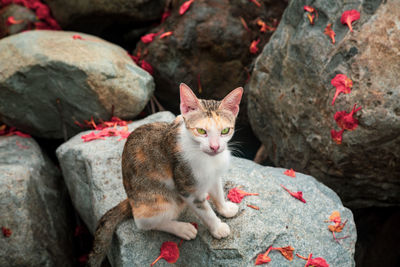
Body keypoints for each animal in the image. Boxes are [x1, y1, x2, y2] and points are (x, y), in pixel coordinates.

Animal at [88, 84, 242, 267]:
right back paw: (182, 228)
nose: (215, 147)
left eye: (225, 131)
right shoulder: (187, 187)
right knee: (143, 222)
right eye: (201, 131)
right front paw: (218, 228)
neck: (208, 159)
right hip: (161, 200)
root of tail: (130, 200)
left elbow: (218, 193)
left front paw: (225, 209)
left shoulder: (213, 176)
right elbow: (206, 212)